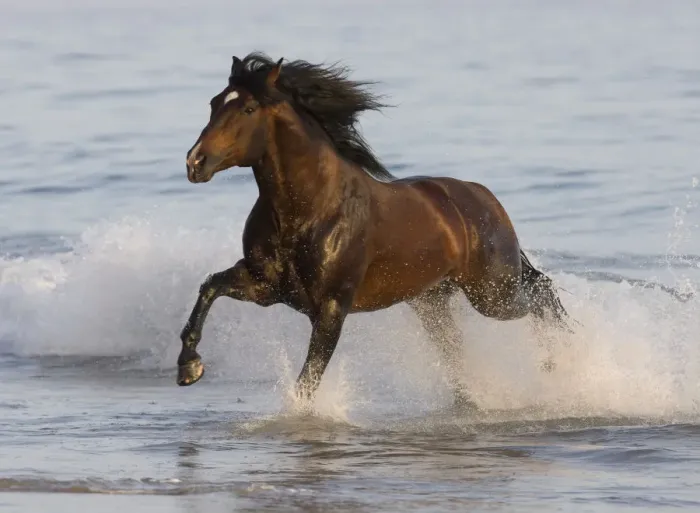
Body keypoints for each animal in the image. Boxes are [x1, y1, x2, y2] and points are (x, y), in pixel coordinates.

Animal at [176, 52, 573, 408]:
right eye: (214, 103)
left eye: (247, 110)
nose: (195, 162)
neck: (309, 210)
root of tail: (485, 198)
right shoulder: (266, 286)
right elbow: (210, 286)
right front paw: (189, 368)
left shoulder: (332, 307)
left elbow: (308, 380)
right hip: (432, 302)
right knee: (460, 346)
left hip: (492, 293)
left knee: (542, 295)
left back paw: (557, 364)